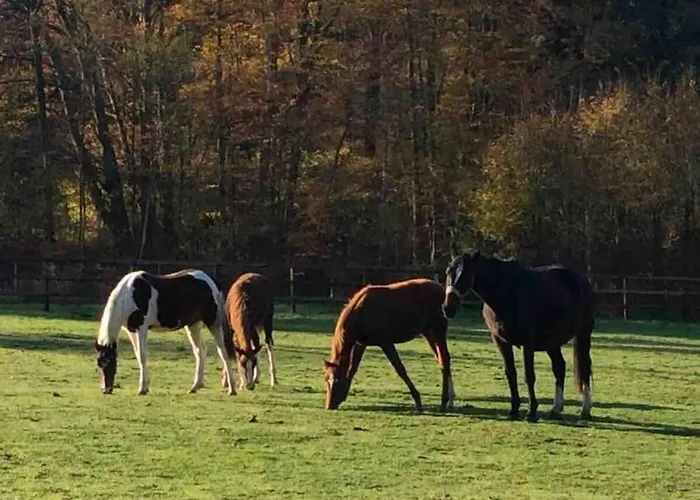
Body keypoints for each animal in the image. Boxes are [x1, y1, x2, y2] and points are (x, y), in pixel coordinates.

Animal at [94, 269, 237, 396]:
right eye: (99, 364)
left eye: (110, 363)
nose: (106, 390)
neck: (130, 295)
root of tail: (212, 281)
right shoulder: (131, 330)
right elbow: (138, 355)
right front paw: (146, 386)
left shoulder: (142, 328)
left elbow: (142, 355)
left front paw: (142, 388)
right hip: (193, 325)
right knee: (200, 351)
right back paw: (195, 387)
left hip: (213, 323)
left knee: (223, 352)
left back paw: (232, 389)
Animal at [323, 278, 455, 412]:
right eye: (326, 379)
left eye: (337, 380)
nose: (330, 405)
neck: (361, 312)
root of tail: (441, 289)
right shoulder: (361, 344)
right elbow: (352, 369)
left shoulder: (386, 343)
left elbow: (400, 369)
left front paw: (418, 401)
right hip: (428, 333)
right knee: (441, 360)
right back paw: (450, 400)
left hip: (438, 331)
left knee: (444, 360)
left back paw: (444, 402)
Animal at [442, 245, 594, 422]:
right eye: (448, 271)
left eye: (466, 274)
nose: (448, 308)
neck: (507, 293)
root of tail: (582, 281)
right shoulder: (501, 342)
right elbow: (511, 374)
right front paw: (514, 410)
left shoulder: (527, 343)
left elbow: (529, 376)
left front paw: (531, 412)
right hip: (552, 343)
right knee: (559, 368)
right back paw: (555, 409)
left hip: (583, 335)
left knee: (584, 367)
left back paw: (585, 409)